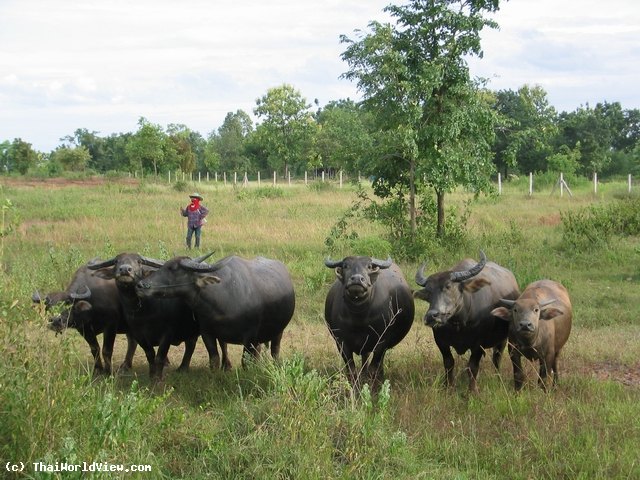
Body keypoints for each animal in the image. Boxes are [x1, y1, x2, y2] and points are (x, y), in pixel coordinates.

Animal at [87, 251, 230, 378]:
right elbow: (150, 355)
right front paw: (152, 374)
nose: (125, 270)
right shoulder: (139, 335)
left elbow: (160, 356)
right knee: (191, 344)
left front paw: (158, 378)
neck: (145, 311)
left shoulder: (167, 333)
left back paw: (226, 365)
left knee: (222, 343)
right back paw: (183, 368)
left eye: (139, 261)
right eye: (117, 261)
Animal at [136, 255, 296, 364]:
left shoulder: (250, 337)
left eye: (173, 269)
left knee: (275, 352)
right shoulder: (208, 334)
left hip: (278, 332)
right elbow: (214, 359)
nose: (141, 285)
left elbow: (245, 362)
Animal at [324, 256, 416, 388]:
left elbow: (373, 369)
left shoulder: (381, 342)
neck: (359, 317)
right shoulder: (341, 342)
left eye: (369, 266)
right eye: (346, 266)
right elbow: (351, 370)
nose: (357, 279)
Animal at [416, 253, 520, 392]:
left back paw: (498, 378)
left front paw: (473, 390)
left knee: (497, 359)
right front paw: (448, 386)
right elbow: (449, 363)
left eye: (448, 286)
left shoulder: (478, 344)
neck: (459, 323)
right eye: (428, 291)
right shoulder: (441, 342)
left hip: (502, 340)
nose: (432, 316)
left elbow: (472, 367)